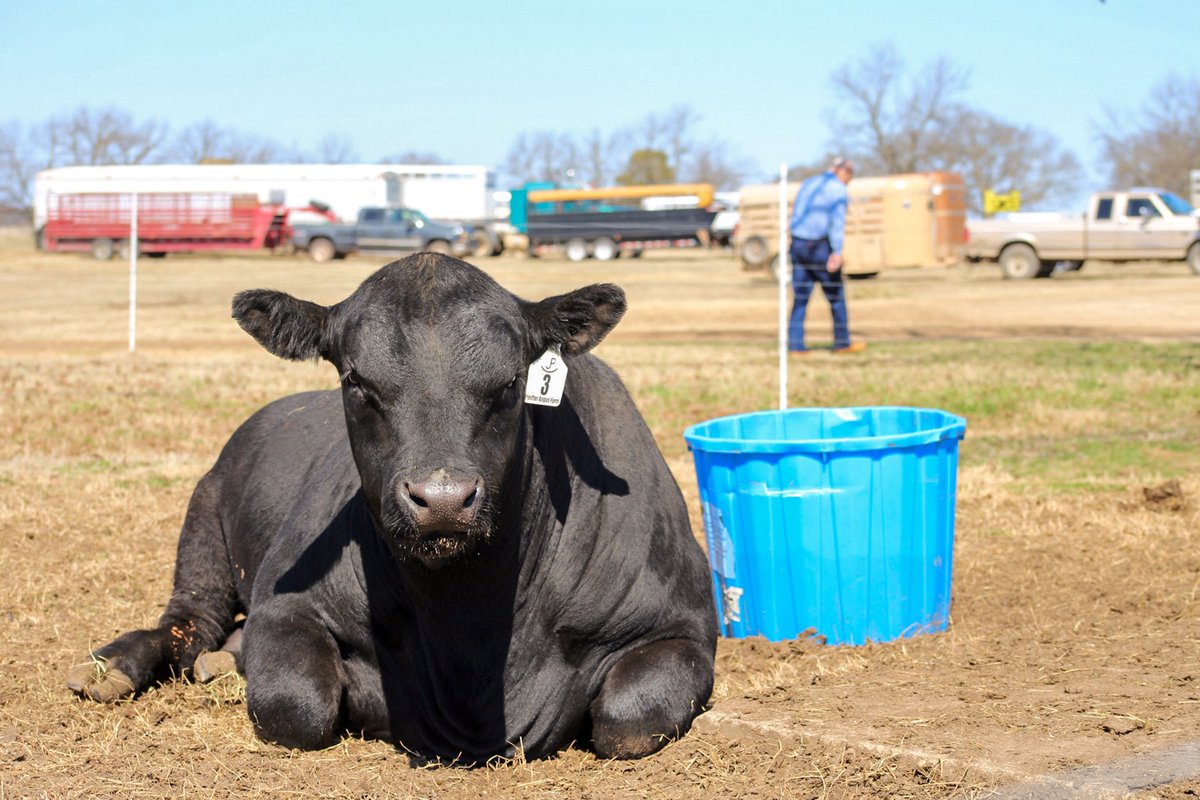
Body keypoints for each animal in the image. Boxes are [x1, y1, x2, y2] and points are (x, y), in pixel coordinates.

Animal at [68, 253, 718, 763]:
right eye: (356, 380)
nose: (443, 500)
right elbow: (294, 706)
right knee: (185, 625)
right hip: (202, 532)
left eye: (512, 382)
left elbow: (628, 722)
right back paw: (112, 668)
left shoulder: (682, 626)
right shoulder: (284, 605)